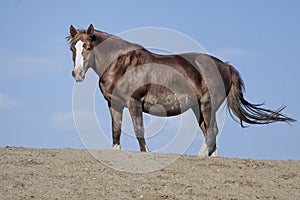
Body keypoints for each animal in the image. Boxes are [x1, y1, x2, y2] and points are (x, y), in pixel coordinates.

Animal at [66, 24, 296, 156]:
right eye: (72, 48)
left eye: (88, 47)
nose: (77, 74)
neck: (122, 64)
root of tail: (226, 66)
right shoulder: (114, 104)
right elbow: (116, 133)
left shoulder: (134, 103)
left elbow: (139, 132)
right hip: (198, 109)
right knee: (210, 135)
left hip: (206, 105)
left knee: (212, 131)